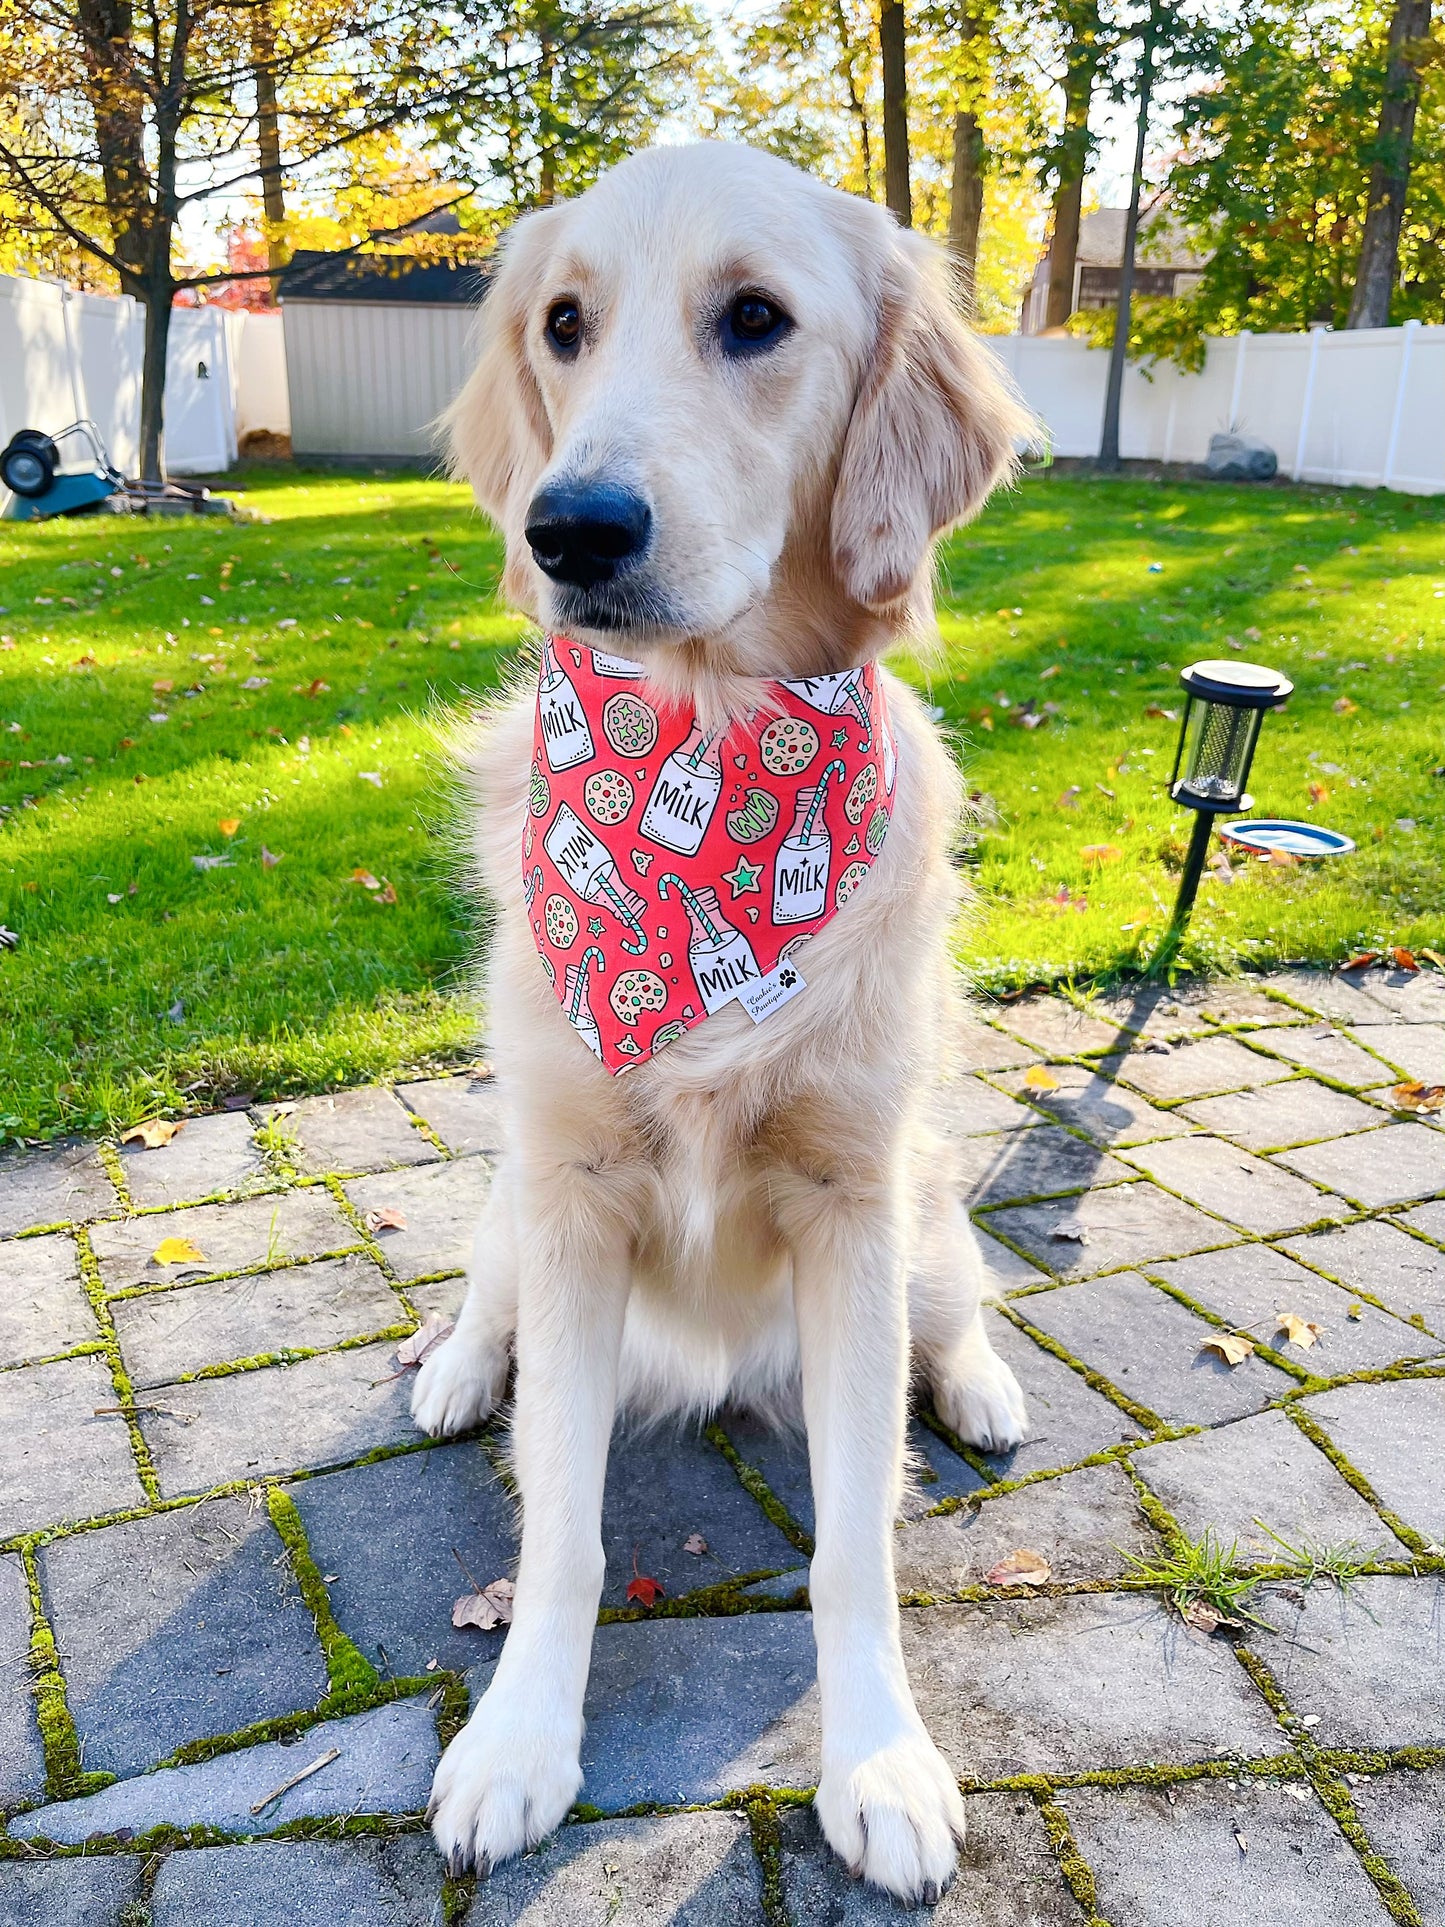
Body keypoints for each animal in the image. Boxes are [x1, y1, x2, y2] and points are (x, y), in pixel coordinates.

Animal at [412, 142, 1032, 1903]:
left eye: (755, 318)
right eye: (562, 324)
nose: (568, 527)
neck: (702, 741)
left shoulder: (850, 1202)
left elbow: (856, 1543)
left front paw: (878, 1756)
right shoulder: (565, 1189)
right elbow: (560, 1523)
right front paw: (516, 1742)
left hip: (923, 1216)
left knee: (957, 1307)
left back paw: (979, 1383)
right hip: (512, 1204)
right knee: (483, 1302)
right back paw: (453, 1365)